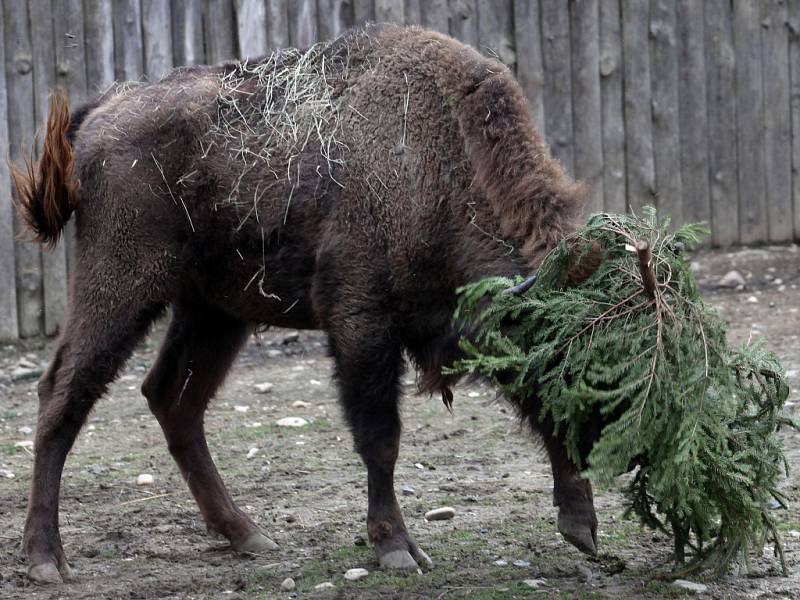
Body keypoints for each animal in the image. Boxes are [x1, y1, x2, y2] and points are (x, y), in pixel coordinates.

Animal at [12, 25, 596, 584]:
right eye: (556, 362)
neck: (436, 158)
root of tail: (102, 111)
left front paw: (583, 531)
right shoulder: (360, 324)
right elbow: (380, 439)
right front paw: (397, 549)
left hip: (214, 312)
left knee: (173, 398)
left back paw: (247, 534)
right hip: (120, 288)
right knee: (62, 395)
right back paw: (46, 559)